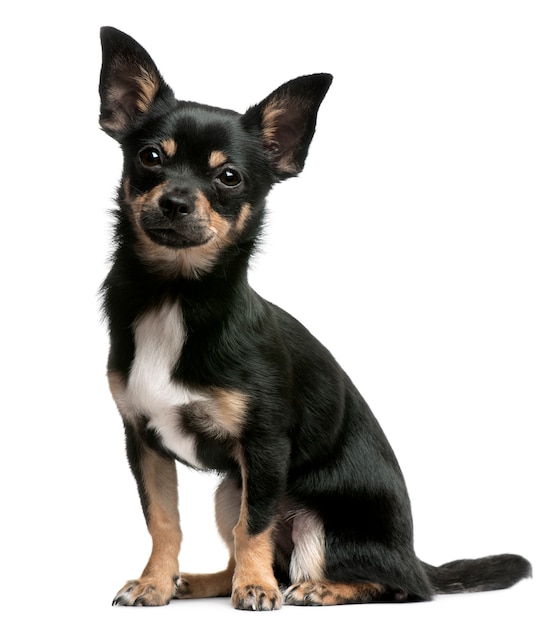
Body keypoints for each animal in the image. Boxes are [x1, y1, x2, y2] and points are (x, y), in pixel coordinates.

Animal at [97, 26, 532, 608]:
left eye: (229, 177)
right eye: (149, 158)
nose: (175, 201)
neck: (175, 295)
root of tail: (417, 558)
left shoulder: (264, 447)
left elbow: (254, 525)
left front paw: (255, 588)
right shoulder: (143, 442)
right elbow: (163, 521)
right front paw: (155, 582)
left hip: (314, 519)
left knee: (394, 586)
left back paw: (317, 588)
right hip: (228, 487)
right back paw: (207, 581)